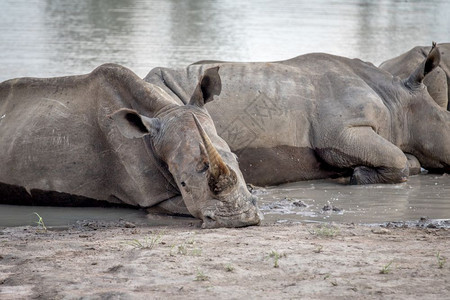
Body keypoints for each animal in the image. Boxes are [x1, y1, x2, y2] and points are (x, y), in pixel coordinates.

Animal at [146, 44, 448, 185]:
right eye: (447, 121)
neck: (398, 101)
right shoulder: (340, 133)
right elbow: (398, 159)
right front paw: (357, 175)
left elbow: (406, 160)